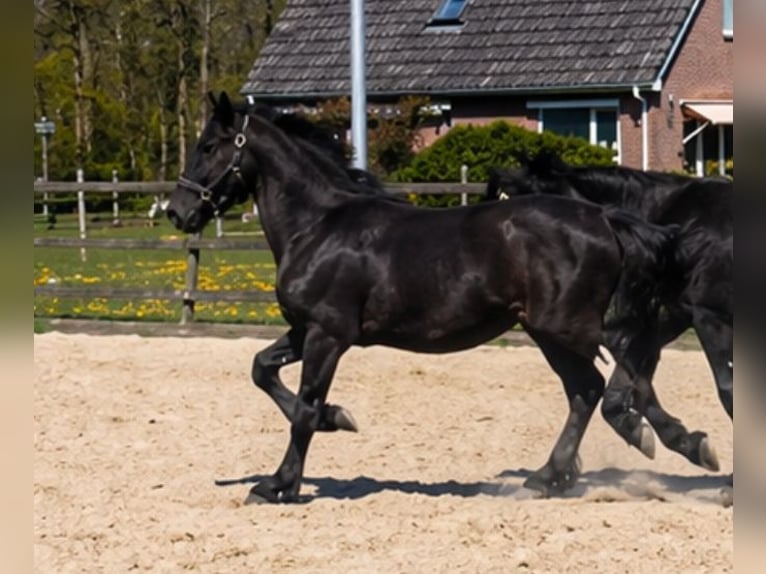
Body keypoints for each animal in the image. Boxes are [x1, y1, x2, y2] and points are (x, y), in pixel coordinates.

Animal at [166, 92, 679, 503]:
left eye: (208, 147)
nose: (177, 211)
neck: (317, 226)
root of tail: (603, 217)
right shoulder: (303, 330)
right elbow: (261, 370)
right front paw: (339, 419)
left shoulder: (327, 335)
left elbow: (305, 409)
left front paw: (279, 483)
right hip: (549, 332)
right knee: (589, 387)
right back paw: (554, 473)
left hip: (568, 328)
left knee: (614, 377)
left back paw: (647, 440)